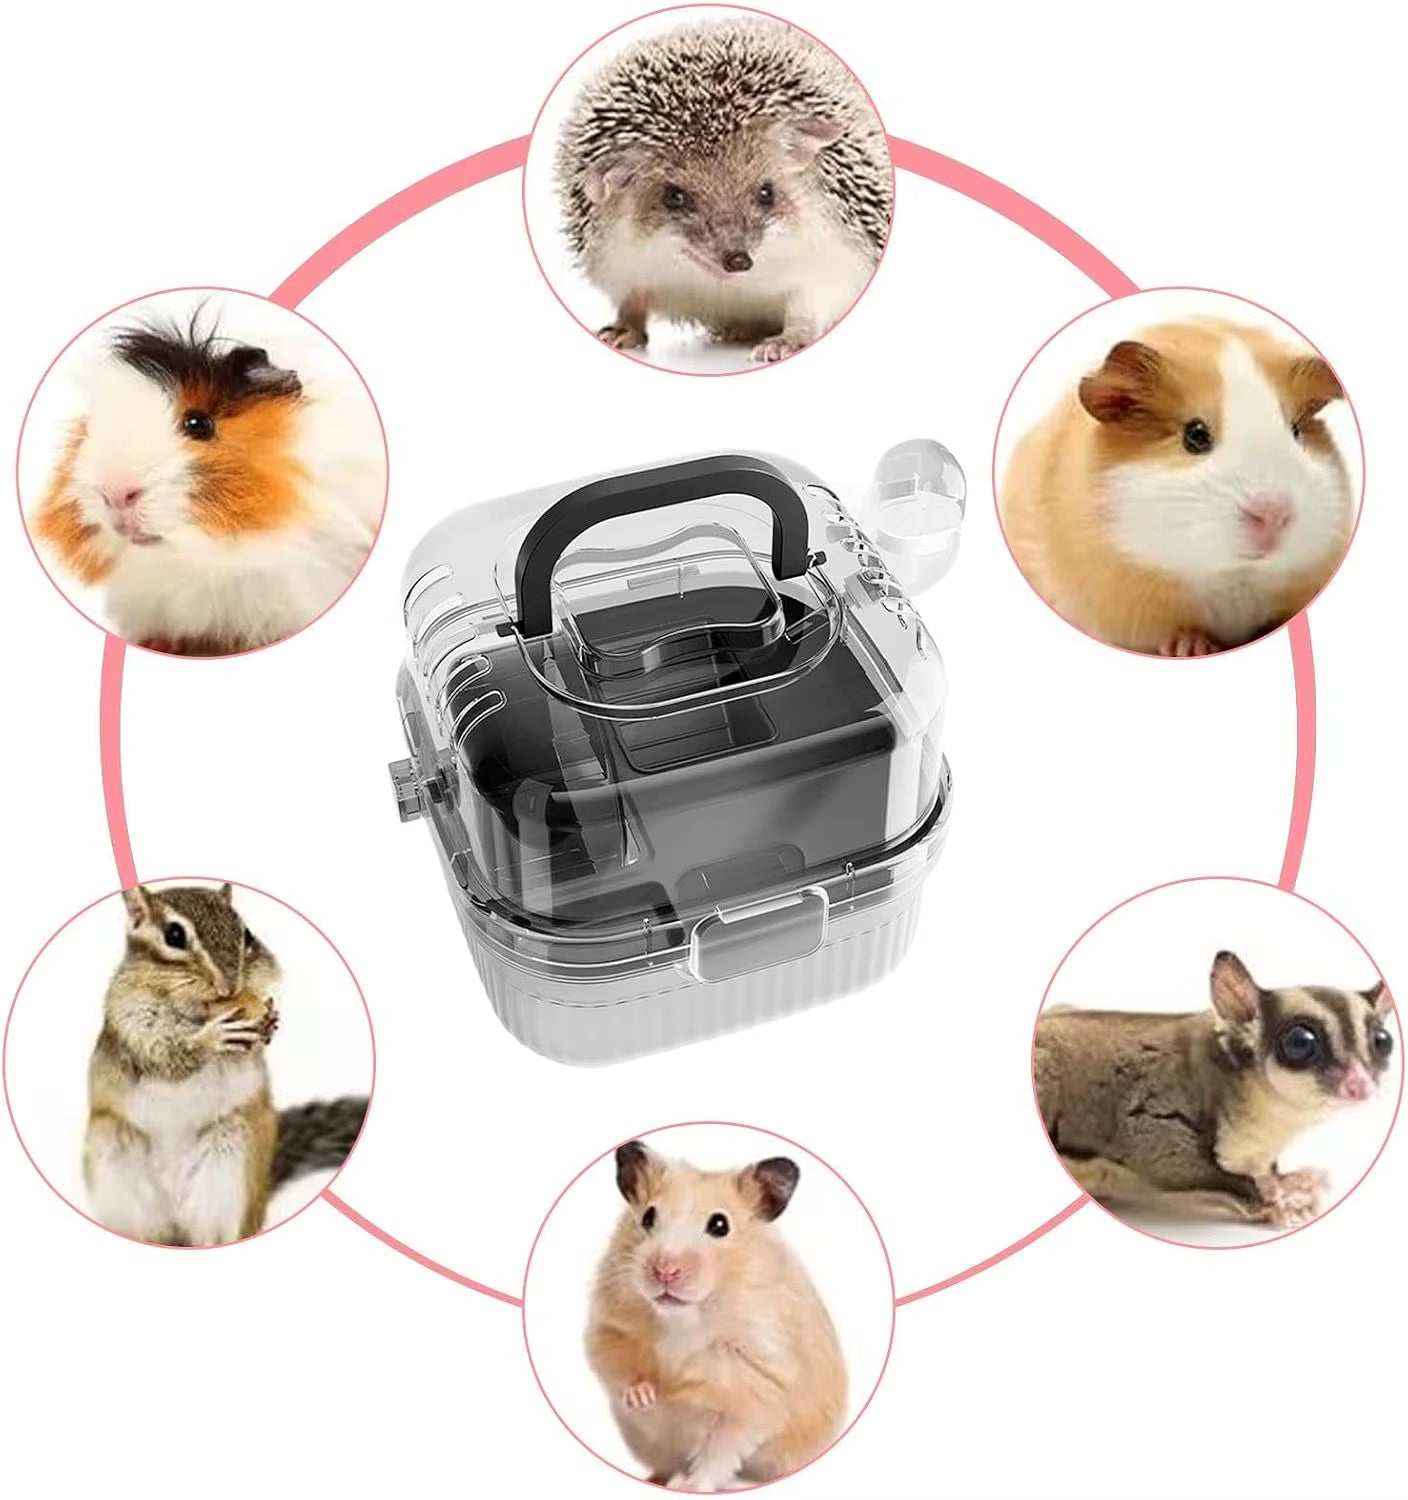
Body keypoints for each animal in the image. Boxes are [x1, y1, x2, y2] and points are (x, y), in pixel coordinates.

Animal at [555, 17, 892, 363]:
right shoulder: (618, 257)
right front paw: (623, 329)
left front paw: (785, 341)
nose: (738, 259)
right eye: (674, 197)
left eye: (766, 192)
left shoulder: (832, 249)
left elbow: (809, 302)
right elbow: (632, 299)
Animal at [586, 1141, 846, 1492]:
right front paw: (647, 1396)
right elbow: (620, 1366)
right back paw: (655, 1479)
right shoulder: (609, 1326)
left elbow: (719, 1449)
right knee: (666, 1464)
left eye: (720, 1225)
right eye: (648, 1217)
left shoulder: (760, 1381)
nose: (665, 1270)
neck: (683, 1317)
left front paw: (684, 1388)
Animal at [999, 319, 1353, 655]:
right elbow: (1179, 630)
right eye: (1195, 435)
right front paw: (1190, 648)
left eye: (1296, 432)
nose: (1273, 514)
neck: (1234, 576)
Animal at [1034, 951, 1395, 1227]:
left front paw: (1289, 1181)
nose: (1361, 1086)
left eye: (1383, 1042)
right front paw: (1272, 1203)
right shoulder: (1156, 1114)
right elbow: (1169, 1163)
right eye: (1300, 1042)